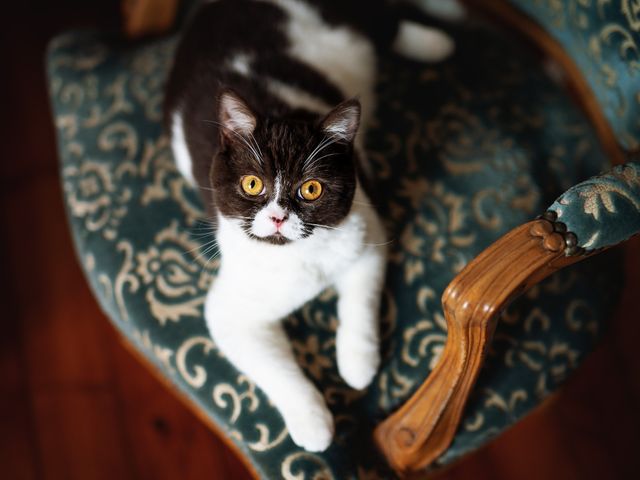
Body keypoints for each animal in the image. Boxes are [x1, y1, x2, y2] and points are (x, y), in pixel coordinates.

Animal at [165, 0, 456, 450]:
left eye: (312, 189)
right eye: (253, 183)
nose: (279, 216)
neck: (298, 256)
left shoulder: (365, 232)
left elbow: (360, 299)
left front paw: (357, 363)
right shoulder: (230, 310)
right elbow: (276, 369)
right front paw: (314, 424)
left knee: (377, 20)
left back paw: (436, 43)